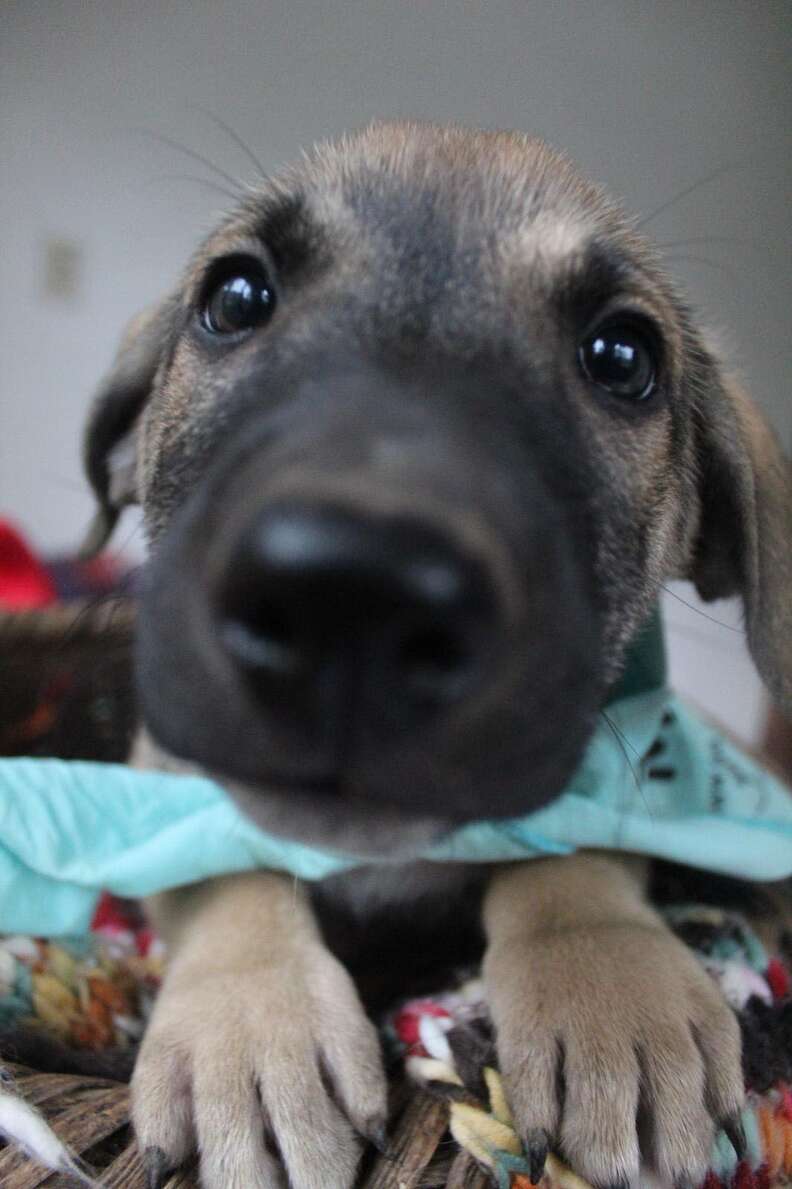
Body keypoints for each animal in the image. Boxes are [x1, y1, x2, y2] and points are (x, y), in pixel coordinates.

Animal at [83, 123, 784, 1189]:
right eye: (235, 296)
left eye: (623, 356)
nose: (354, 600)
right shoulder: (164, 779)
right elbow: (227, 875)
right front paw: (252, 1032)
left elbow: (572, 845)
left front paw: (613, 990)